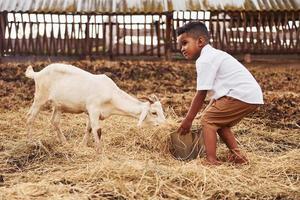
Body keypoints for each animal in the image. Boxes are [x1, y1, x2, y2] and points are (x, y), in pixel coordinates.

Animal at [25, 63, 166, 149]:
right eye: (154, 112)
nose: (165, 125)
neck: (111, 95)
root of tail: (37, 73)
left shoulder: (91, 113)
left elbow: (88, 128)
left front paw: (82, 145)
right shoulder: (93, 110)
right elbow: (97, 130)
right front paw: (100, 150)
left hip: (58, 105)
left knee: (54, 121)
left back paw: (64, 142)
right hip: (40, 97)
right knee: (30, 117)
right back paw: (31, 142)